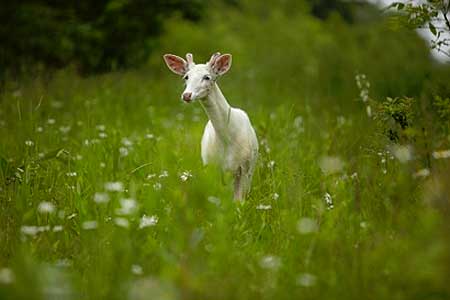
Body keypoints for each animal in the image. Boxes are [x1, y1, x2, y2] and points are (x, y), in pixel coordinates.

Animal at [163, 52, 258, 200]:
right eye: (186, 77)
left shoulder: (243, 167)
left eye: (207, 77)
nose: (186, 95)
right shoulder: (211, 165)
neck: (227, 140)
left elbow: (238, 201)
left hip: (251, 169)